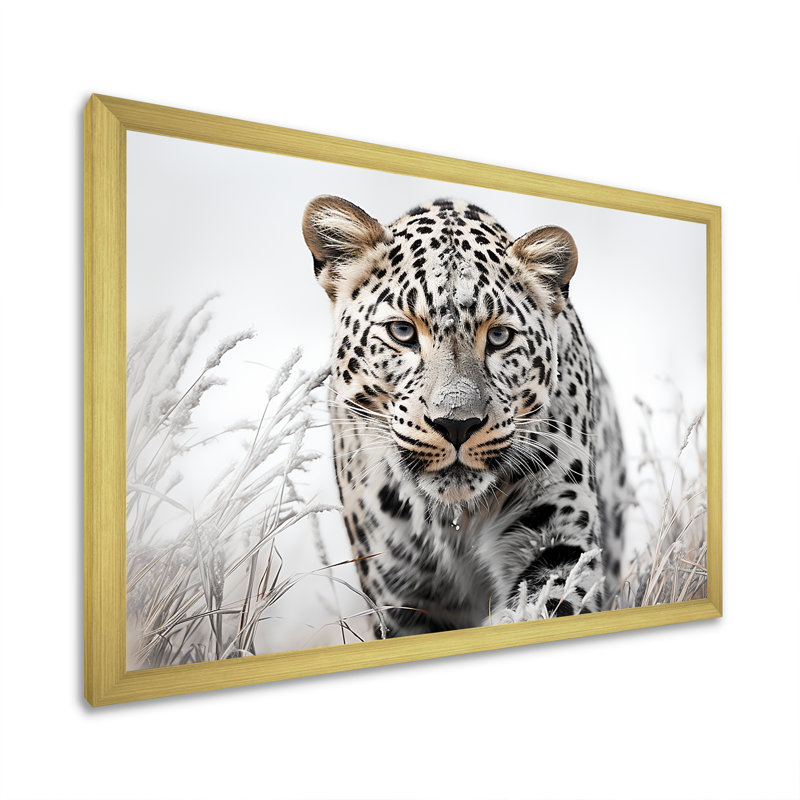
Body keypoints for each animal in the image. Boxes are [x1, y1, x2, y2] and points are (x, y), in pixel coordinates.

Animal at [302, 195, 627, 638]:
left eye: (499, 337)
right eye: (402, 332)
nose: (457, 425)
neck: (454, 520)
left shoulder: (558, 539)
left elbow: (547, 604)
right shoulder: (399, 592)